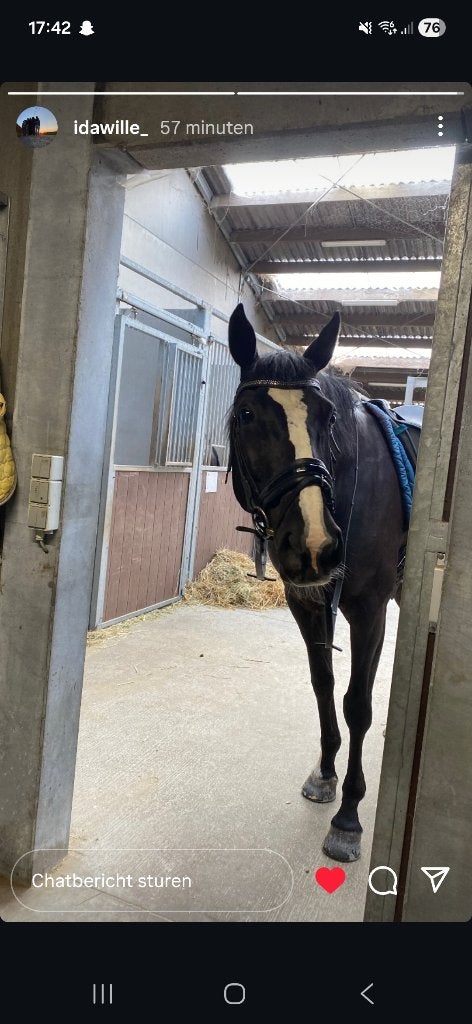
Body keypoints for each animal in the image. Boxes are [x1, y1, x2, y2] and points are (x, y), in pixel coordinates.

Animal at [227, 303, 409, 862]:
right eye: (246, 416)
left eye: (327, 418)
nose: (313, 545)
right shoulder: (306, 603)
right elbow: (323, 683)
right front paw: (326, 774)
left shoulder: (370, 612)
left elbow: (357, 705)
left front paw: (348, 816)